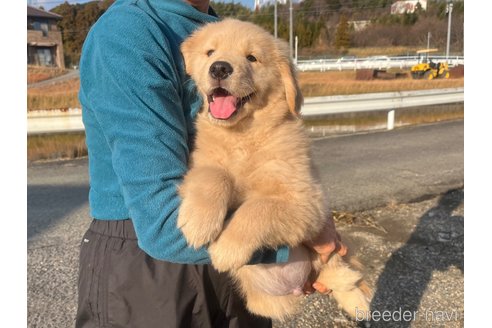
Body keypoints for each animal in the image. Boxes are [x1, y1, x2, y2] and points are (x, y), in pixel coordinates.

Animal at [177, 18, 368, 320]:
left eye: (252, 58)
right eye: (210, 52)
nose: (219, 68)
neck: (242, 136)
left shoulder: (306, 199)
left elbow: (257, 209)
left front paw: (226, 249)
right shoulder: (200, 163)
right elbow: (214, 176)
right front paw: (198, 223)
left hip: (330, 249)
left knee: (344, 273)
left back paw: (358, 303)